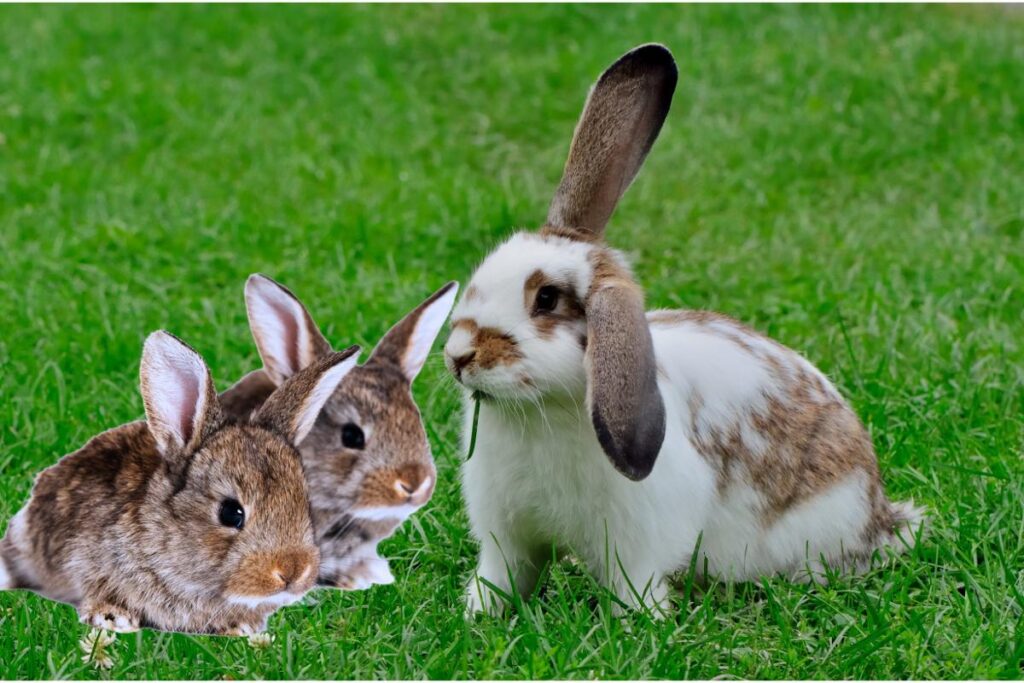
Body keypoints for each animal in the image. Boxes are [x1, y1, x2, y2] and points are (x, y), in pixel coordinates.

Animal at [442, 44, 929, 618]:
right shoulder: (507, 538)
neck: (545, 413)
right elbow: (501, 577)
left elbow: (635, 585)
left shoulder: (635, 544)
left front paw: (638, 623)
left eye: (546, 299)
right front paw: (479, 615)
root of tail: (879, 515)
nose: (458, 355)